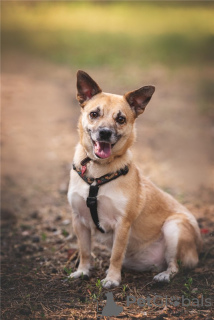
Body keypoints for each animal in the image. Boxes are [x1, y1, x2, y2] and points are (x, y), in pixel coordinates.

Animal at [67, 71, 202, 288]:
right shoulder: (79, 220)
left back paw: (164, 275)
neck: (97, 175)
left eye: (121, 119)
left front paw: (112, 279)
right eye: (94, 114)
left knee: (174, 264)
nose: (105, 133)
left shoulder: (122, 224)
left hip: (174, 227)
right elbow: (85, 251)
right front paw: (82, 271)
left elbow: (115, 254)